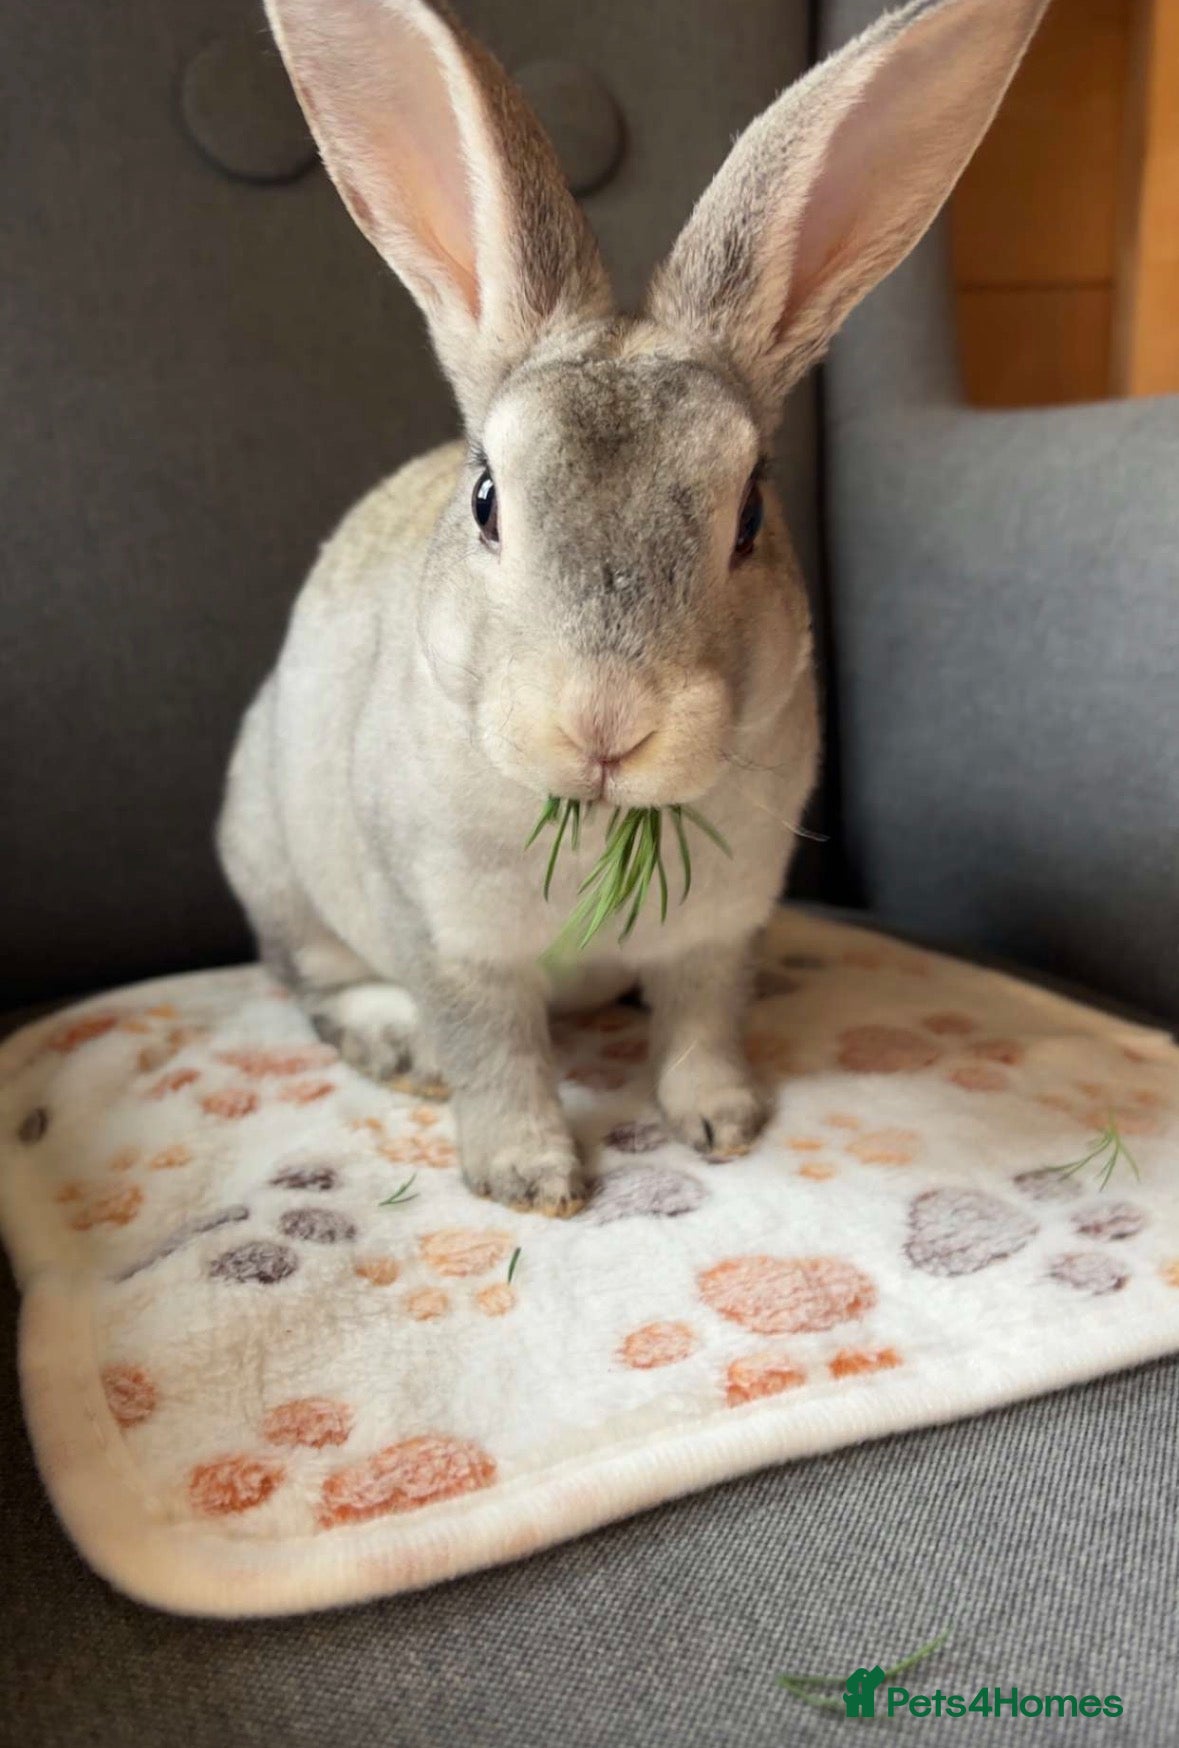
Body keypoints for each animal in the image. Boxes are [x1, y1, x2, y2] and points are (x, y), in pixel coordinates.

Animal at [219, 0, 1049, 1214]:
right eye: (486, 499)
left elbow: (701, 1025)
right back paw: (394, 1041)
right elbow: (495, 1054)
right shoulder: (453, 938)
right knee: (313, 976)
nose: (604, 724)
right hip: (273, 858)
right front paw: (530, 1180)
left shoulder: (720, 931)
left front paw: (722, 1123)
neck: (602, 821)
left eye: (749, 512)